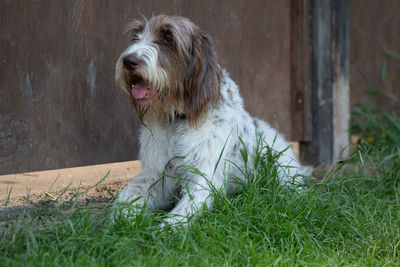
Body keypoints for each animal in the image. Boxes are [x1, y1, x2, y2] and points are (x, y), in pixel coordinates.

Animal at [114, 15, 308, 227]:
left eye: (167, 38)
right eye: (136, 36)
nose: (129, 61)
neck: (178, 120)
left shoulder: (203, 181)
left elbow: (176, 220)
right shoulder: (154, 174)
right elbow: (126, 200)